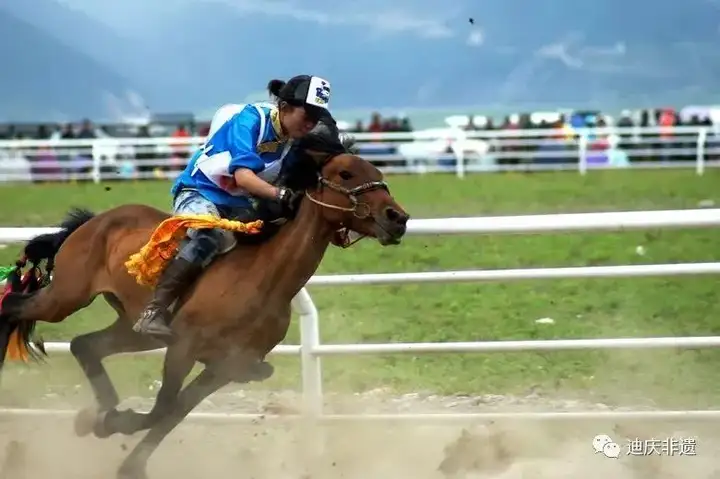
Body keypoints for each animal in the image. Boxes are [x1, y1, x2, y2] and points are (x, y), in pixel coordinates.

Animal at [0, 134, 408, 479]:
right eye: (345, 172)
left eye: (378, 173)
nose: (398, 218)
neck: (262, 279)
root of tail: (93, 221)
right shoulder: (184, 347)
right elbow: (164, 406)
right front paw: (114, 425)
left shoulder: (226, 365)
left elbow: (174, 412)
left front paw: (114, 440)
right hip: (65, 297)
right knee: (15, 306)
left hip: (133, 329)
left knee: (84, 345)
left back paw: (101, 408)